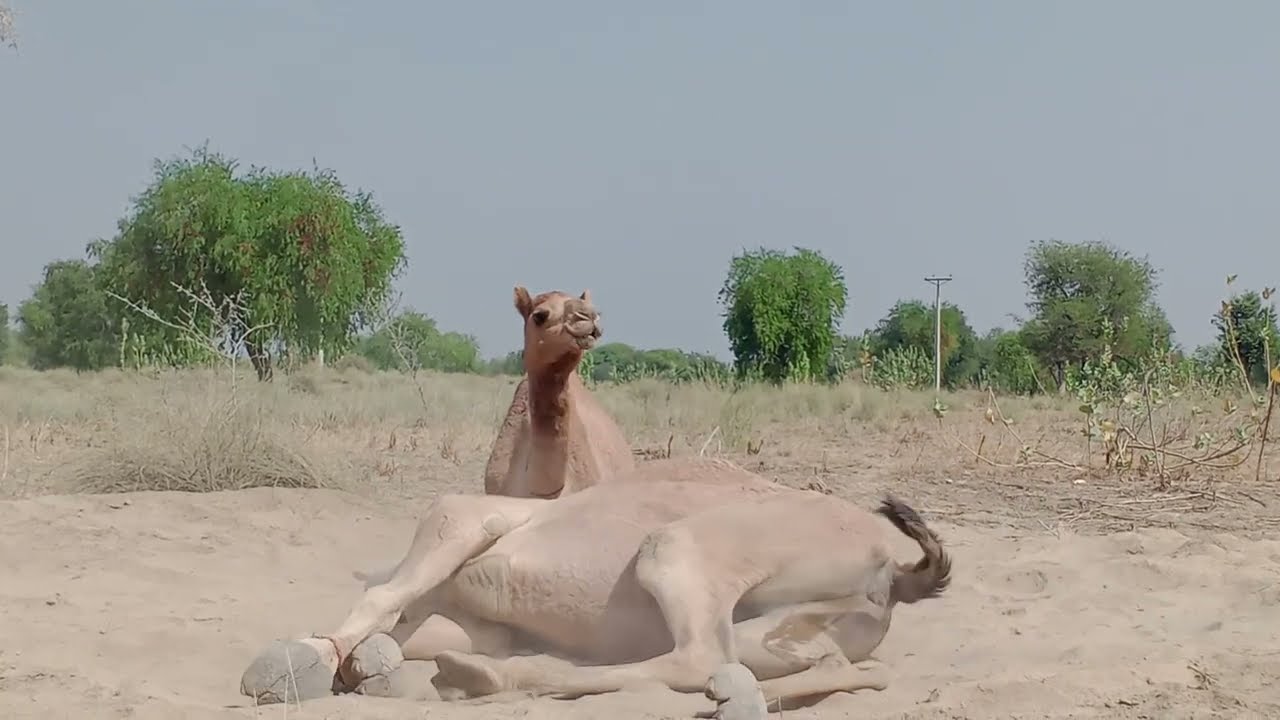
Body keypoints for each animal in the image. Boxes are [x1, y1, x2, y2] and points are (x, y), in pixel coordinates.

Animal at [240, 458, 952, 708]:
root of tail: (893, 571)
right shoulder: (474, 619)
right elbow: (396, 625)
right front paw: (359, 667)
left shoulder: (461, 519)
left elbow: (380, 596)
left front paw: (299, 663)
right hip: (777, 633)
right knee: (818, 665)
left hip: (675, 549)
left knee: (697, 656)